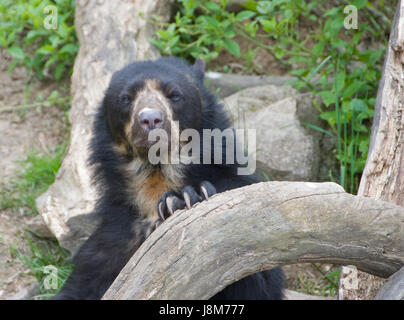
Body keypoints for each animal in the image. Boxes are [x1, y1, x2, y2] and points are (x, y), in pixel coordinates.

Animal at [54, 56, 284, 298]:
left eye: (175, 95)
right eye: (126, 98)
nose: (150, 119)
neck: (157, 174)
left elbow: (255, 277)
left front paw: (186, 197)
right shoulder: (115, 237)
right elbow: (85, 281)